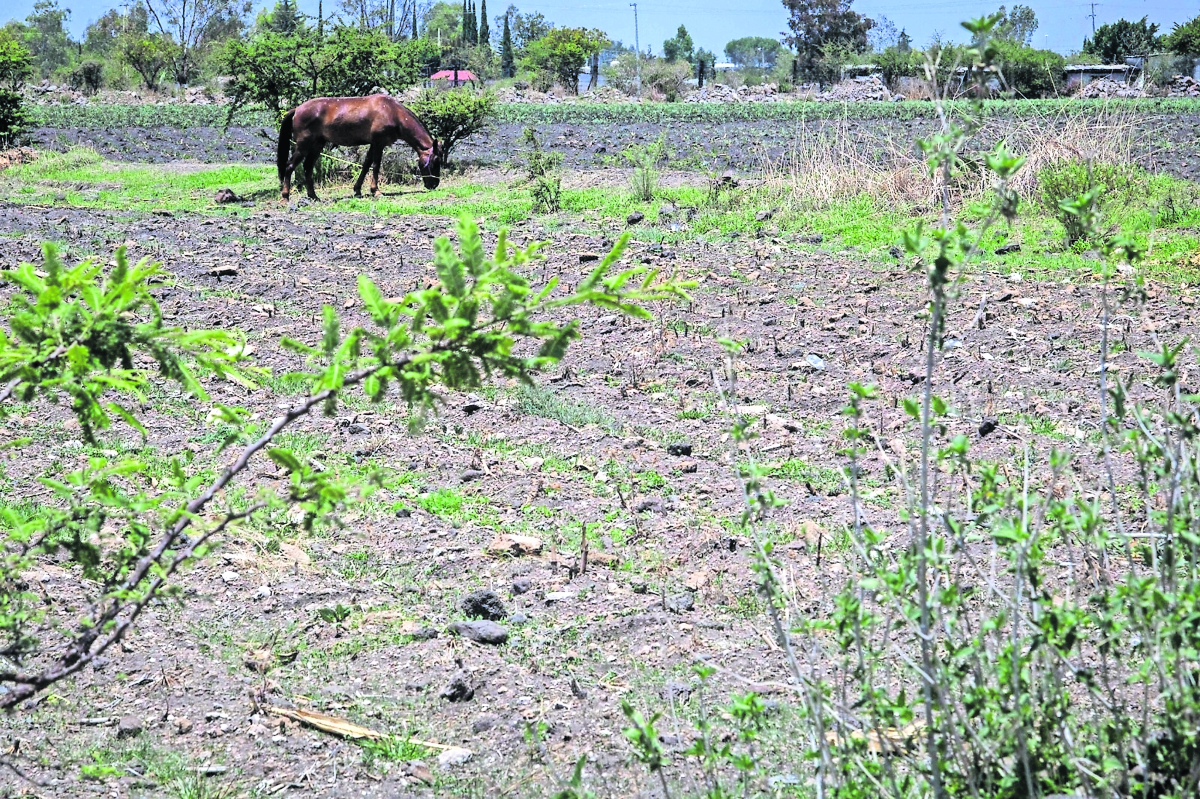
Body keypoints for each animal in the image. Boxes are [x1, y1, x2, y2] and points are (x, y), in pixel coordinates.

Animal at [276, 93, 441, 200]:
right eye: (434, 162)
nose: (434, 184)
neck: (392, 112)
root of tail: (297, 109)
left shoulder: (373, 144)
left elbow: (366, 165)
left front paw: (357, 190)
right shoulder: (379, 143)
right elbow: (376, 165)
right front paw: (376, 191)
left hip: (317, 145)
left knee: (307, 167)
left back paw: (313, 196)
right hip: (303, 145)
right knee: (290, 166)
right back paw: (285, 196)